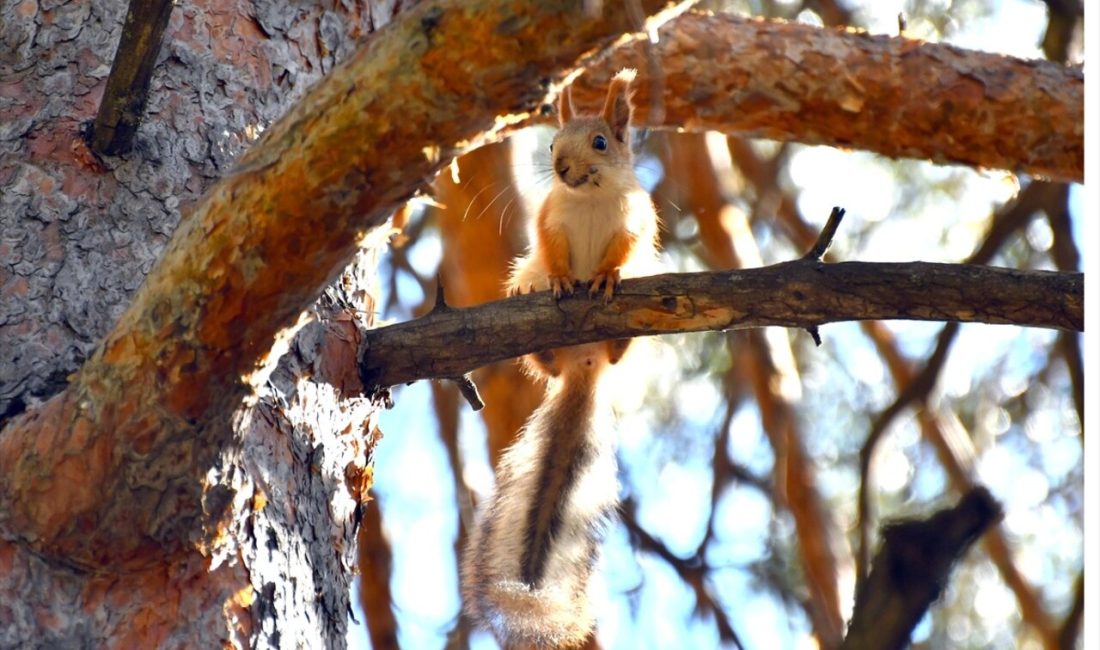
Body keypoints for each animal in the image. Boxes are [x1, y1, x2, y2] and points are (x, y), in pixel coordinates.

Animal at [459, 68, 655, 646]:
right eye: (551, 144)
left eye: (601, 142)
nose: (563, 168)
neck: (587, 199)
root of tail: (581, 367)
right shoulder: (550, 221)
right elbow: (552, 248)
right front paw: (564, 279)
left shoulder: (637, 222)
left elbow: (624, 251)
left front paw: (608, 275)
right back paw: (543, 332)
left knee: (620, 351)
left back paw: (617, 341)